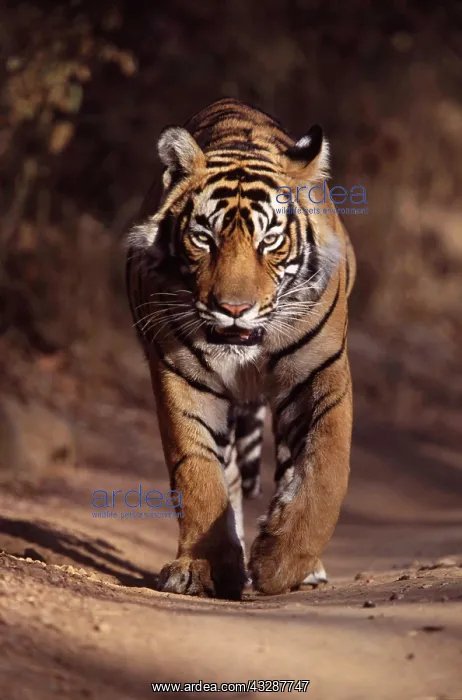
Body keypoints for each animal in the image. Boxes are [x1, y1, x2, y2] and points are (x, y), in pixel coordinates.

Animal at [126, 97, 356, 600]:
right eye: (203, 238)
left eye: (269, 240)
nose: (232, 308)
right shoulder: (180, 376)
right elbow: (198, 475)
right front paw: (203, 567)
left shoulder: (320, 370)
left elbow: (326, 468)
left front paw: (280, 563)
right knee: (228, 475)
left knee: (290, 466)